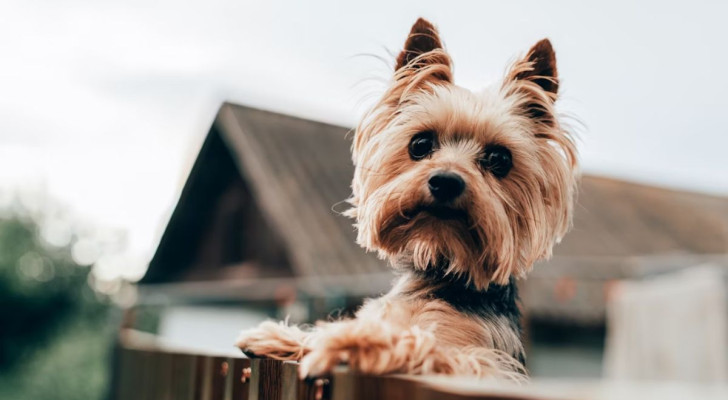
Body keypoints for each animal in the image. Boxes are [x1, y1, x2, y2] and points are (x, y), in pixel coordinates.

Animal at [236, 18, 576, 382]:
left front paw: (345, 341)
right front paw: (278, 336)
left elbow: (417, 341)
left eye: (499, 159)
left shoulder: (484, 365)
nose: (446, 181)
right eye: (420, 144)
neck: (441, 270)